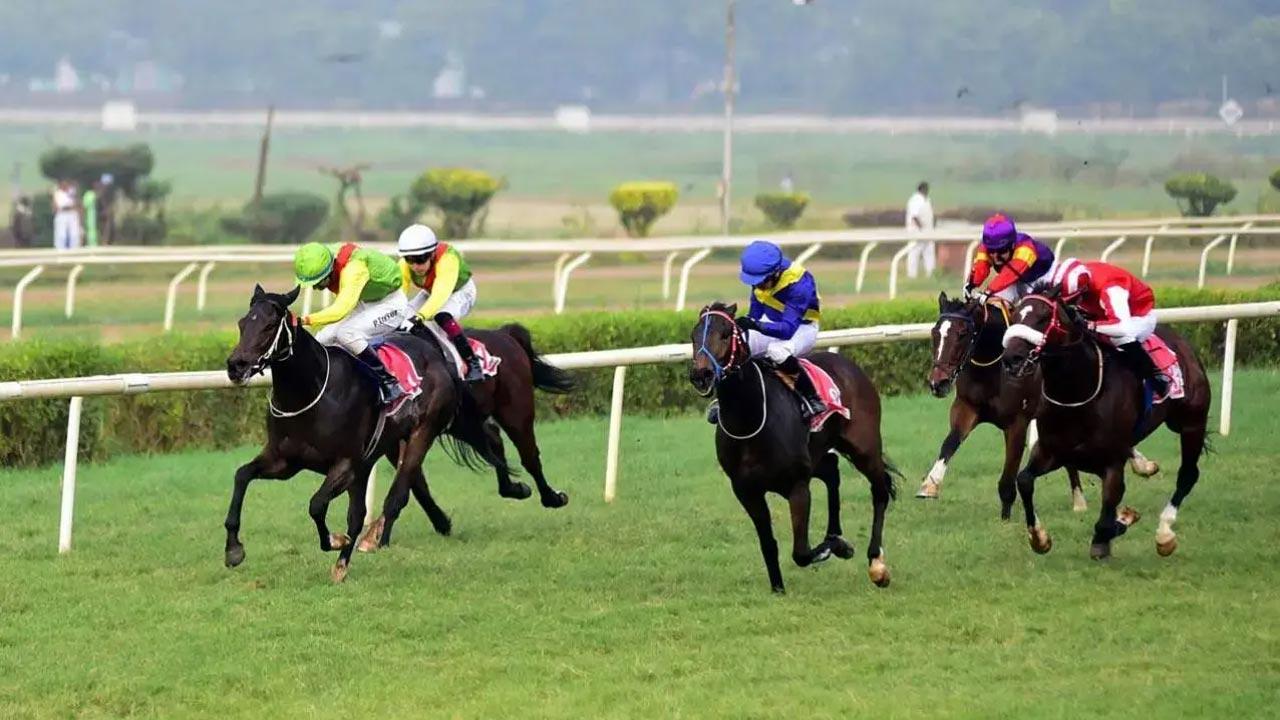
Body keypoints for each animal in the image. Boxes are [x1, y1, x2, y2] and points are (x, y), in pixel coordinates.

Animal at [224, 284, 502, 582]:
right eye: (242, 323)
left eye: (269, 325)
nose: (236, 365)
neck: (310, 393)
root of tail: (434, 352)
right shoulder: (284, 461)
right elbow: (241, 476)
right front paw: (233, 550)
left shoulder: (345, 464)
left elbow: (316, 505)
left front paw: (335, 540)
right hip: (374, 457)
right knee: (362, 512)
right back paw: (347, 561)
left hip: (421, 433)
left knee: (398, 492)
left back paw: (370, 540)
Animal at [357, 320, 576, 551]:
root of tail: (504, 334)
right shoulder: (395, 441)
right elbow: (416, 482)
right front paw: (441, 522)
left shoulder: (420, 429)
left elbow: (406, 480)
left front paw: (380, 537)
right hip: (463, 422)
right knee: (494, 441)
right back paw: (513, 488)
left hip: (515, 411)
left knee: (529, 456)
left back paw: (552, 498)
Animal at [688, 302, 896, 594]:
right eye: (693, 336)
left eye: (726, 334)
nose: (701, 374)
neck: (750, 419)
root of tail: (851, 366)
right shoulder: (746, 491)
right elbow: (768, 543)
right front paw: (778, 588)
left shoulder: (797, 485)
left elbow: (801, 552)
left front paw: (837, 547)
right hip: (817, 455)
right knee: (832, 471)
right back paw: (835, 534)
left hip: (863, 448)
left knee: (880, 491)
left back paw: (876, 563)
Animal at [922, 292, 1159, 511]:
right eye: (935, 332)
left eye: (962, 334)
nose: (938, 383)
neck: (993, 369)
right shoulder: (967, 407)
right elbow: (950, 442)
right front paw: (929, 485)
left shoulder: (1018, 421)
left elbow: (1008, 478)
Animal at [1001, 289, 1211, 559]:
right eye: (1015, 314)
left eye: (1044, 317)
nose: (1012, 358)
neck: (1077, 392)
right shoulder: (1051, 451)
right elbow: (1024, 480)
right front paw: (1039, 538)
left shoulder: (1111, 461)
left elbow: (1107, 514)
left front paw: (1114, 529)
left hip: (1191, 423)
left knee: (1187, 475)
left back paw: (1165, 533)